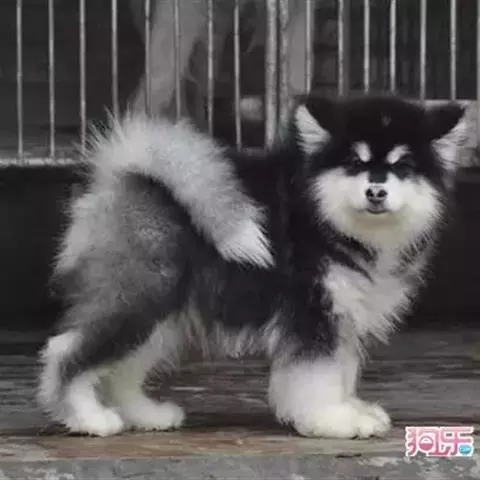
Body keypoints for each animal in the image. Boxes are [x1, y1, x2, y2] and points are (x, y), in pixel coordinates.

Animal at [38, 94, 466, 438]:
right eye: (353, 163)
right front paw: (332, 420)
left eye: (403, 166)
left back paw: (143, 414)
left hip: (162, 310)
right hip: (140, 296)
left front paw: (350, 409)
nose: (375, 191)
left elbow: (342, 371)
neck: (328, 221)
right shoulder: (312, 313)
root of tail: (128, 172)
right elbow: (320, 374)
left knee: (124, 366)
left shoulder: (342, 314)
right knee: (66, 350)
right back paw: (87, 418)